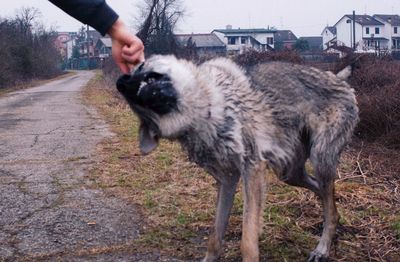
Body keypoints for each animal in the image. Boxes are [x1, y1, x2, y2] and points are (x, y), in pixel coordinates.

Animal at [115, 54, 360, 260]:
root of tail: (338, 78)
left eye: (143, 69)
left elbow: (248, 240)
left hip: (319, 161)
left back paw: (322, 249)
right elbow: (215, 236)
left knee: (330, 206)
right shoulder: (228, 180)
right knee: (326, 199)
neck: (205, 116)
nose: (121, 81)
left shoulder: (252, 170)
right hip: (288, 173)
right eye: (136, 102)